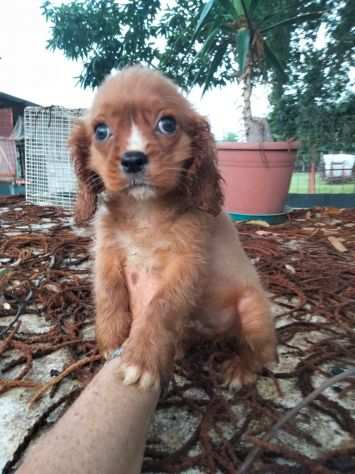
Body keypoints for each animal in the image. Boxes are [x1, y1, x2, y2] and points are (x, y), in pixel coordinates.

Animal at [68, 67, 276, 392]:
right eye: (101, 131)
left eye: (167, 124)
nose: (133, 159)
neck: (144, 210)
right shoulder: (107, 251)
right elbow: (108, 291)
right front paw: (111, 336)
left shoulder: (187, 261)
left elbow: (161, 306)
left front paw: (142, 358)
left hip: (254, 313)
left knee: (257, 353)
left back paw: (240, 369)